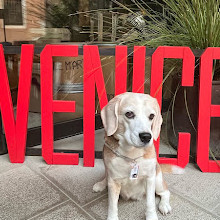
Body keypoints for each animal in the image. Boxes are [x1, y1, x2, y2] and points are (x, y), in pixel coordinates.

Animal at [93, 92, 182, 220]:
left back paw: (164, 205)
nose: (146, 137)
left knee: (165, 192)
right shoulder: (113, 181)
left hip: (158, 180)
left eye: (151, 116)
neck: (131, 155)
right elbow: (112, 205)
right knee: (106, 176)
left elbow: (150, 202)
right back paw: (101, 184)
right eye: (129, 114)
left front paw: (151, 216)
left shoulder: (150, 179)